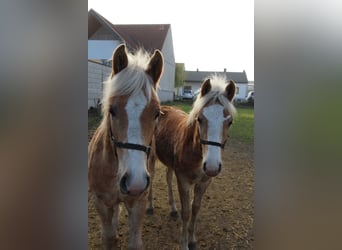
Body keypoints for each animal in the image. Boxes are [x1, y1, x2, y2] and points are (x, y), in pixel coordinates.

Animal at [87, 45, 164, 250]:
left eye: (157, 113)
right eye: (112, 110)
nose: (135, 182)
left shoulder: (137, 203)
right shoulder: (101, 202)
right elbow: (109, 237)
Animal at [154, 75, 236, 250]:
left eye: (230, 122)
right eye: (200, 119)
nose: (212, 166)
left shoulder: (204, 182)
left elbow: (195, 209)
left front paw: (192, 240)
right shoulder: (183, 181)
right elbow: (186, 212)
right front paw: (184, 243)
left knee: (168, 179)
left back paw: (172, 208)